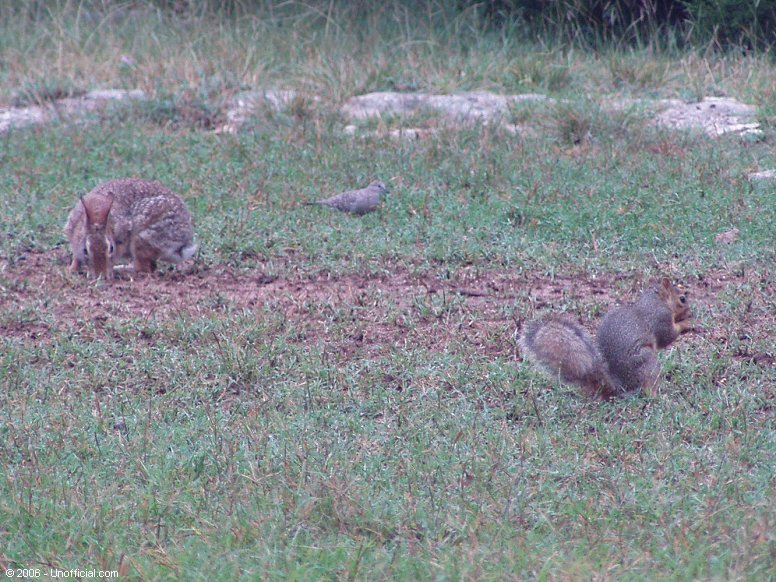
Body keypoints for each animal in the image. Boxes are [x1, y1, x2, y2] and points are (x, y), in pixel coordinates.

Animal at [63, 179, 197, 280]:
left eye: (111, 248)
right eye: (85, 250)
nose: (102, 276)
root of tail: (183, 242)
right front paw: (71, 270)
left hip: (142, 239)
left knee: (143, 269)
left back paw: (122, 271)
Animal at [520, 280, 692, 402]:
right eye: (682, 299)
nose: (690, 312)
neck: (656, 300)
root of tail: (620, 387)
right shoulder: (659, 318)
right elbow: (667, 336)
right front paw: (687, 323)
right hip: (647, 362)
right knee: (648, 388)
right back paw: (660, 397)